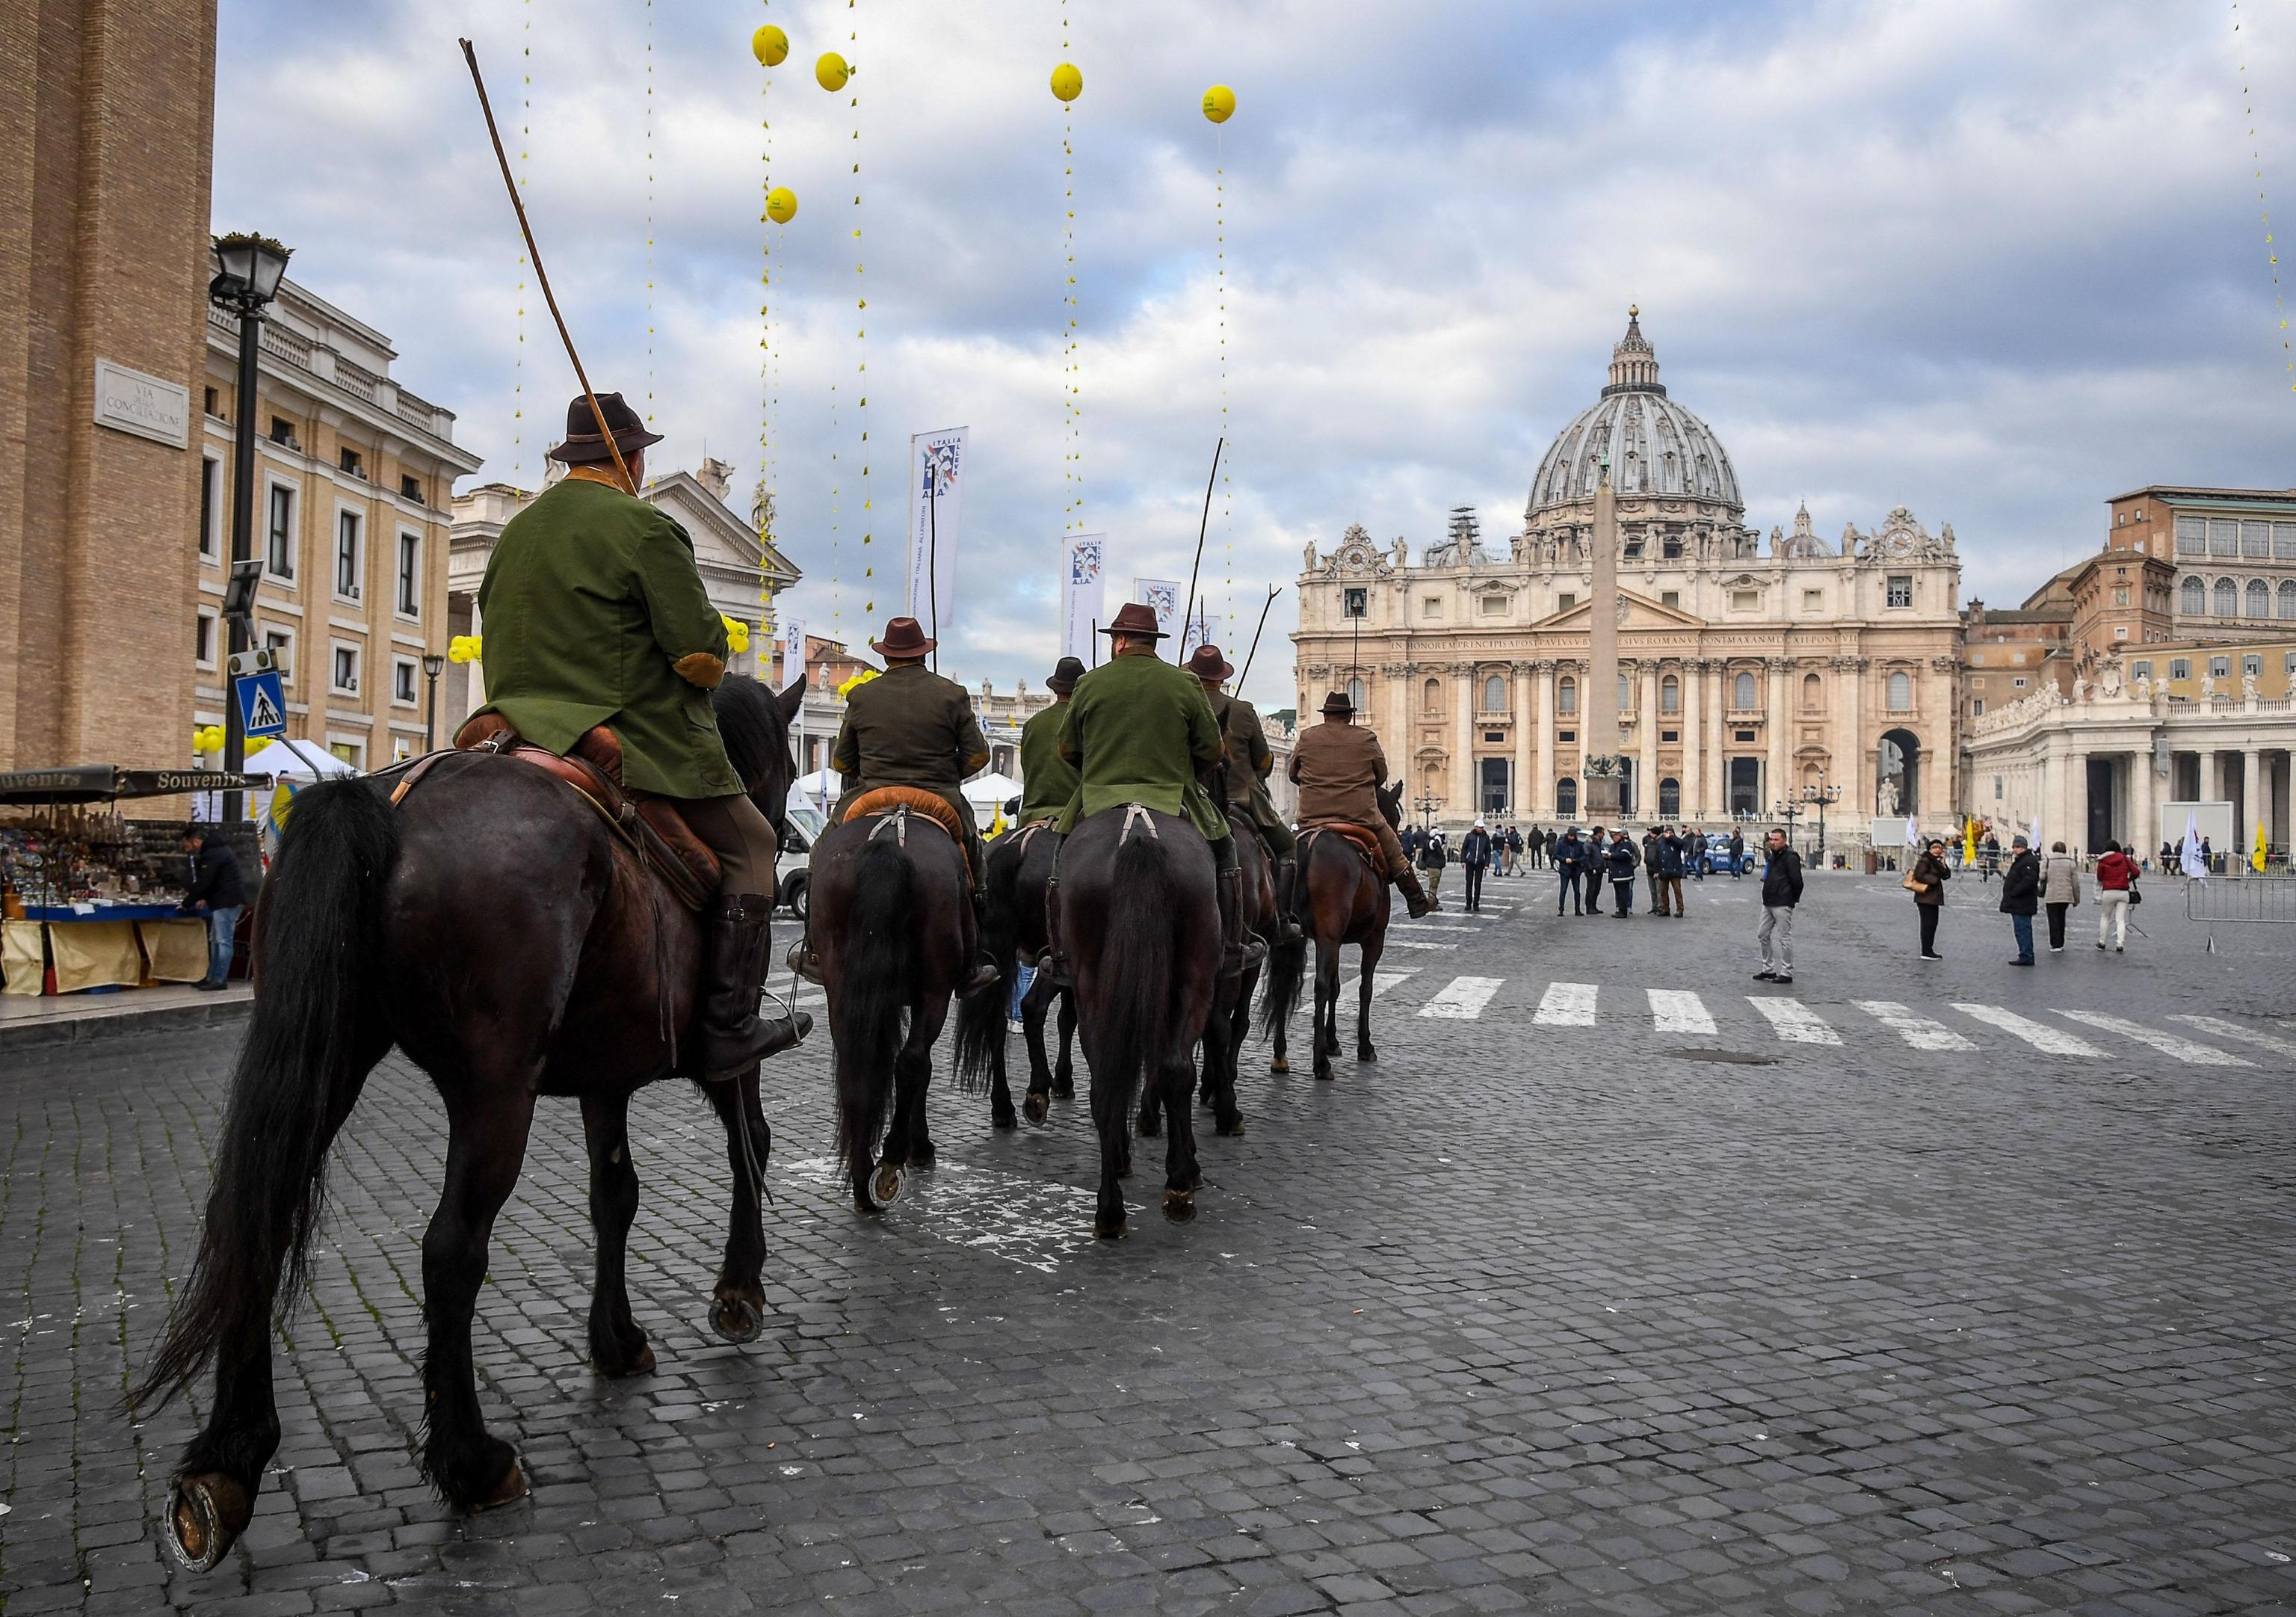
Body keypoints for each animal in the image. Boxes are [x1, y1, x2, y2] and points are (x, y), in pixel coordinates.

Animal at [130, 671, 808, 1562]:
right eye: (789, 768)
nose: (788, 836)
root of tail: (385, 805)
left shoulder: (606, 1074)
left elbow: (615, 1196)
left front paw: (616, 1339)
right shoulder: (727, 1056)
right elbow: (749, 1143)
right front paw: (739, 1288)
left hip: (331, 1056)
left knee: (260, 1218)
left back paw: (229, 1459)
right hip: (495, 1092)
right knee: (451, 1250)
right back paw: (472, 1463)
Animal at [1286, 776, 1405, 1079]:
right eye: (1396, 816)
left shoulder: (1335, 939)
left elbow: (1338, 986)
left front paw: (1332, 1041)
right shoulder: (1373, 939)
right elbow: (1364, 989)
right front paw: (1364, 1045)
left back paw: (1281, 1057)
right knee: (1318, 987)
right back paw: (1320, 1064)